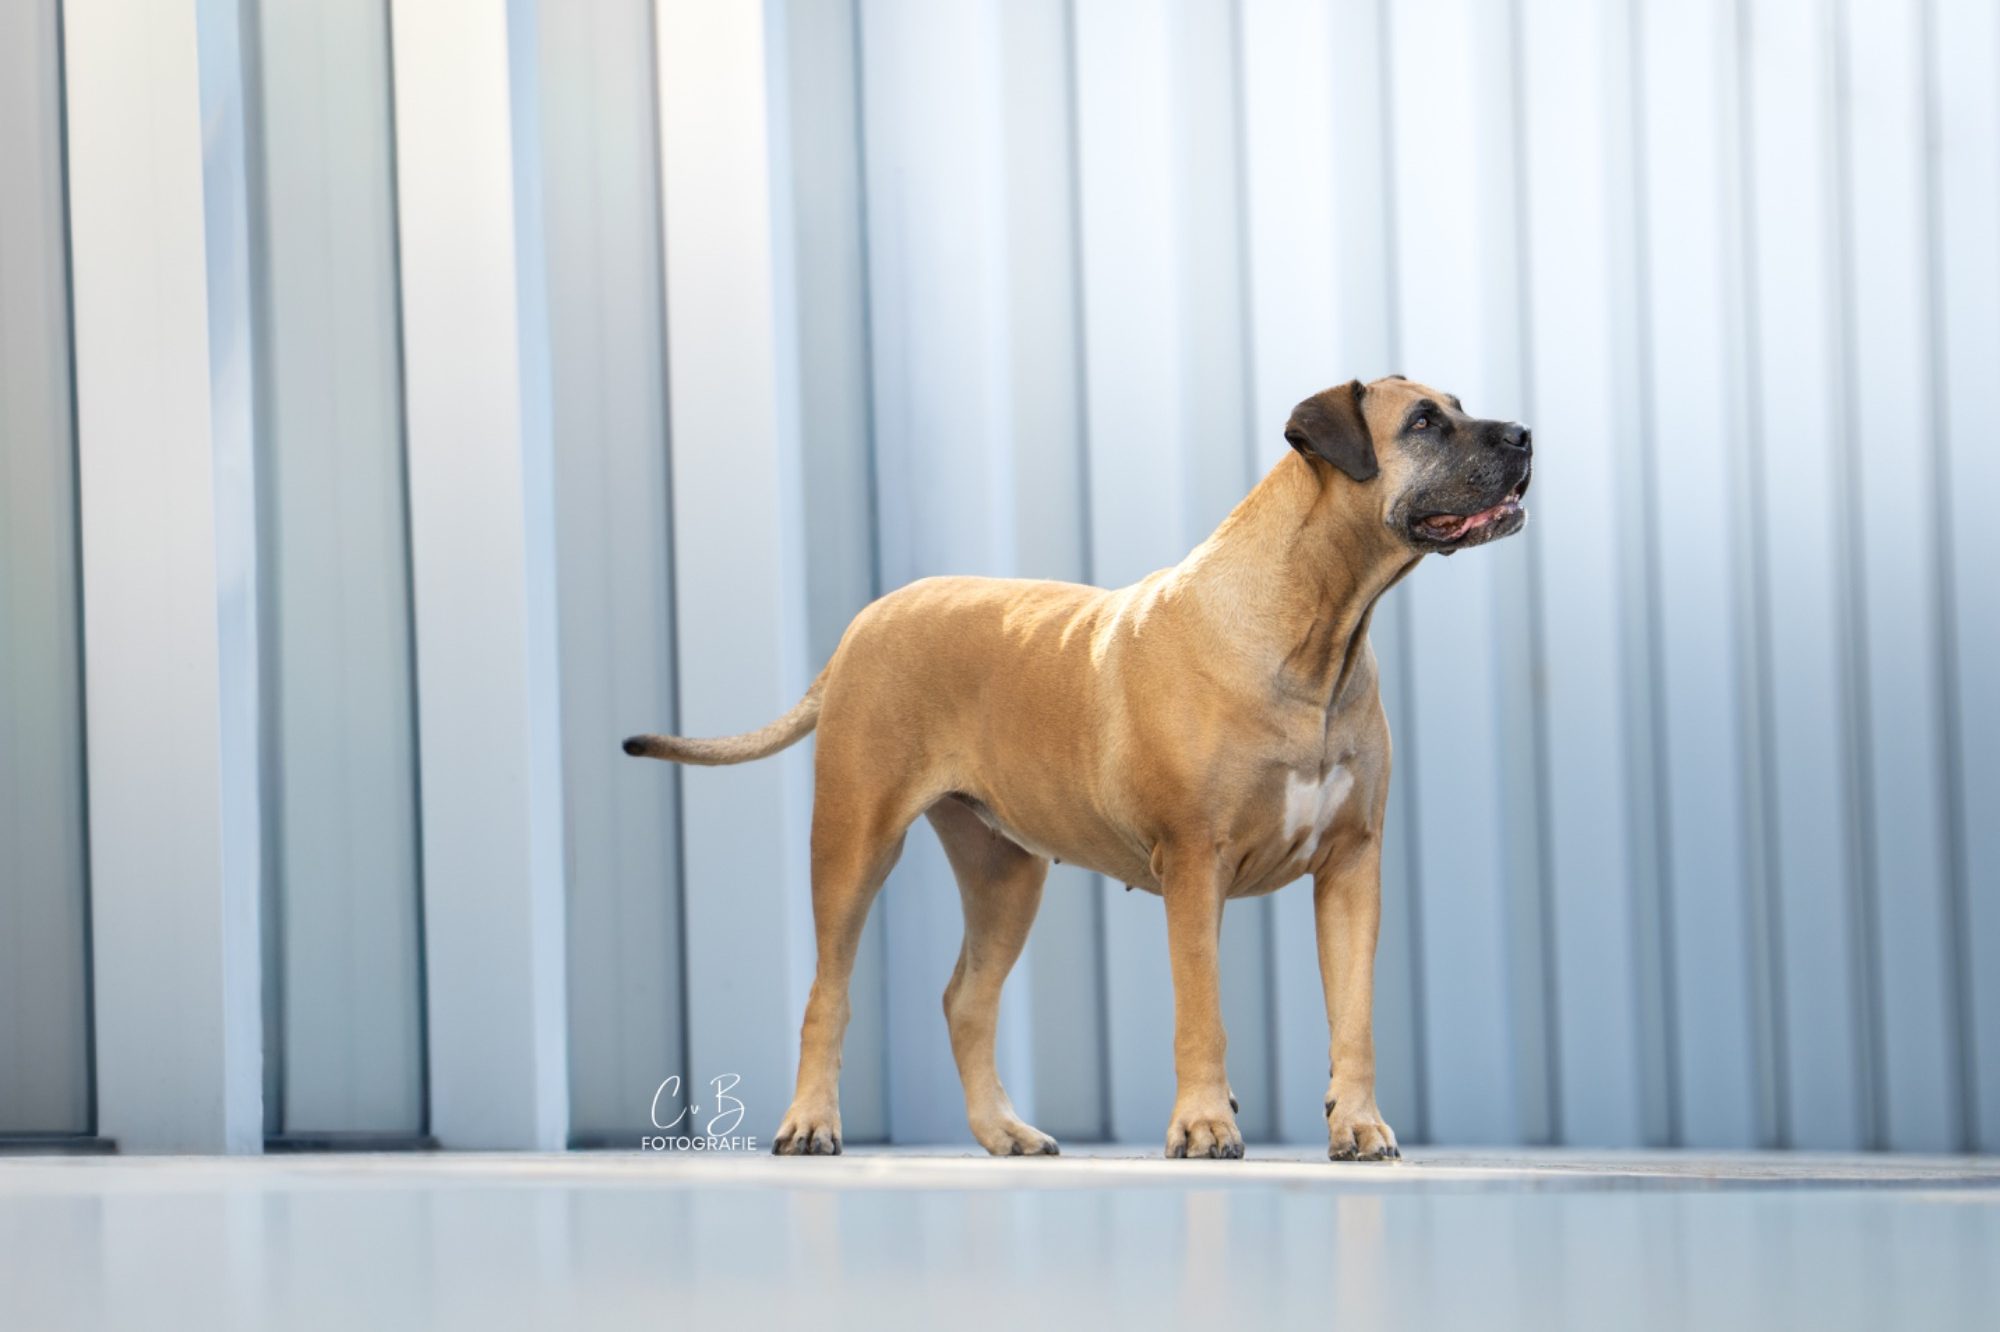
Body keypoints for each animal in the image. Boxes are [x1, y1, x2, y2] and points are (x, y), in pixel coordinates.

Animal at [625, 375, 1531, 1160]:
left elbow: (1355, 1016)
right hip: (854, 839)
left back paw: (1005, 1132)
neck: (1318, 627)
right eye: (1424, 423)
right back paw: (812, 1122)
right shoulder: (1194, 862)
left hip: (1005, 873)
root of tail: (867, 621)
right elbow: (1201, 1011)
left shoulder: (1351, 865)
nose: (1524, 433)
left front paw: (1360, 1127)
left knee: (966, 999)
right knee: (829, 993)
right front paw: (1205, 1125)